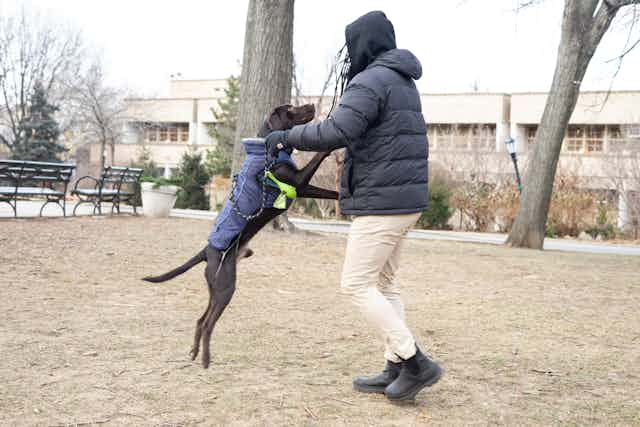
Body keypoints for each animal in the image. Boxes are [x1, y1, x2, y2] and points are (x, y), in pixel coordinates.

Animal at [142, 103, 338, 368]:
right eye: (291, 109)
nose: (312, 105)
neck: (268, 150)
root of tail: (206, 251)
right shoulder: (298, 181)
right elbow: (319, 156)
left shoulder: (302, 188)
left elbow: (331, 192)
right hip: (226, 287)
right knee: (207, 324)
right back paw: (205, 360)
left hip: (215, 289)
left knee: (199, 320)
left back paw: (194, 353)